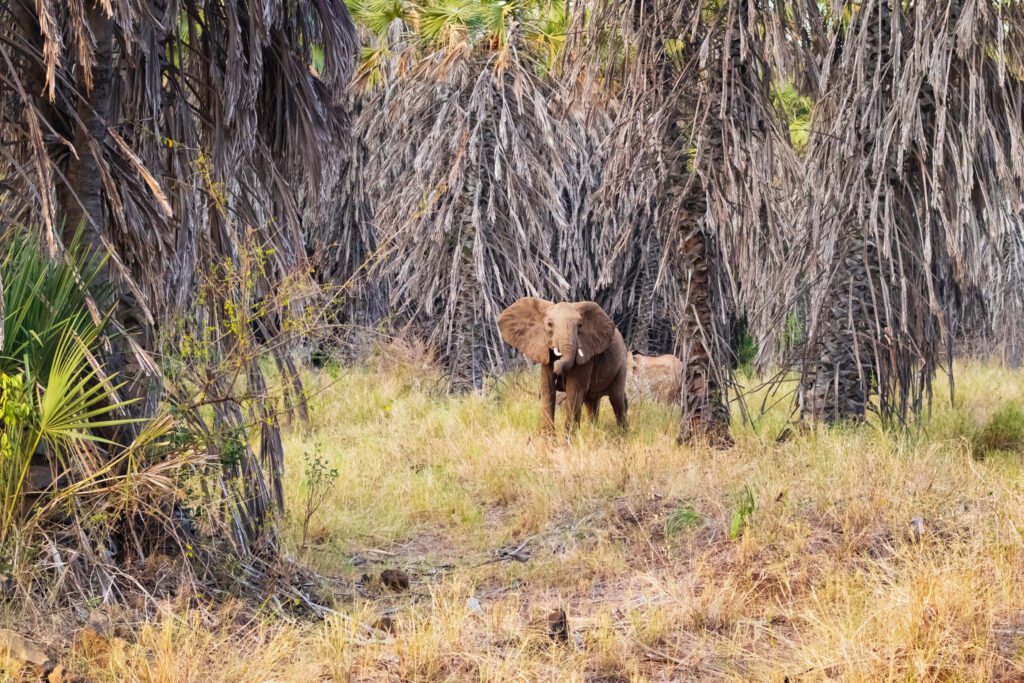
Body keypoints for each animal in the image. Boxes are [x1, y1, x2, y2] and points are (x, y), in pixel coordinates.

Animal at [498, 297, 628, 432]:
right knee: (592, 403)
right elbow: (547, 388)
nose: (558, 373)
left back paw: (622, 434)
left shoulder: (586, 356)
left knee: (616, 400)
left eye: (580, 325)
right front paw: (548, 437)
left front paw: (569, 438)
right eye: (549, 324)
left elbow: (574, 391)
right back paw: (594, 432)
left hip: (622, 364)